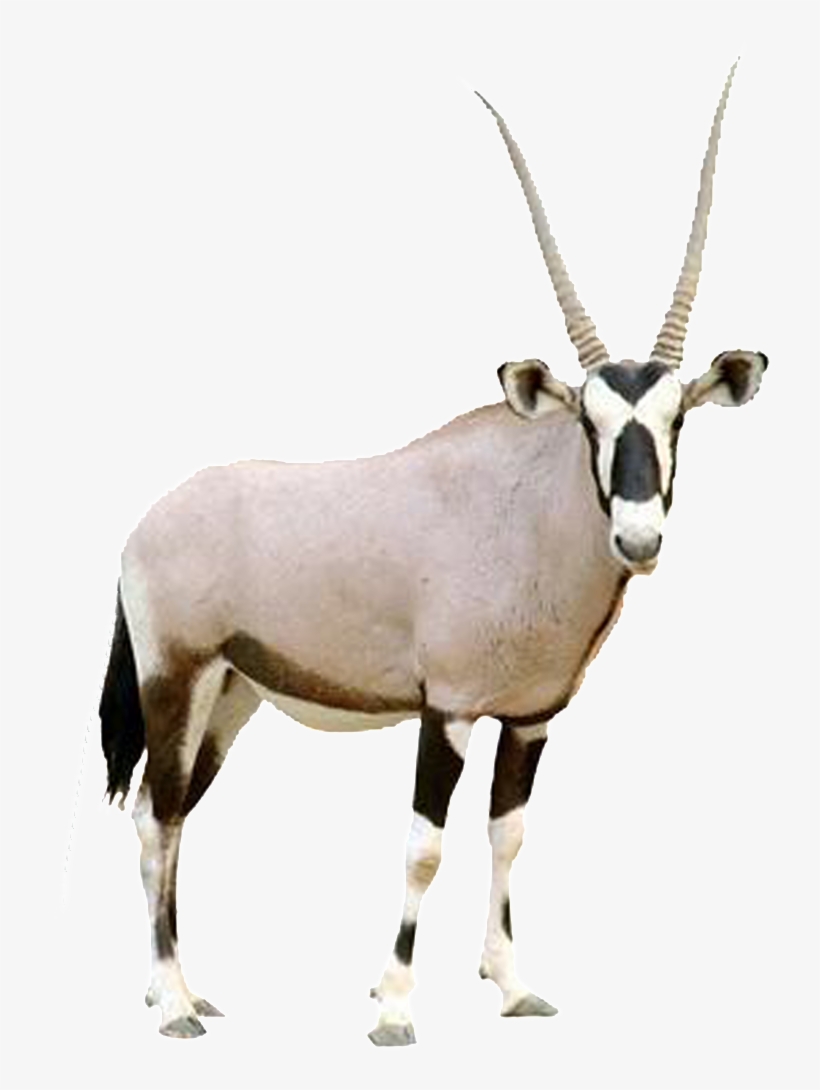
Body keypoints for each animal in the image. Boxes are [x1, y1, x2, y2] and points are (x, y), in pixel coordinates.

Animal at [100, 61, 767, 1046]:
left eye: (676, 417)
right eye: (588, 420)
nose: (639, 538)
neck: (527, 513)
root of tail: (146, 523)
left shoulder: (529, 718)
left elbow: (507, 835)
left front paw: (514, 986)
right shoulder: (445, 710)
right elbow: (425, 846)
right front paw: (393, 1008)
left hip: (231, 698)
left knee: (173, 814)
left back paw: (176, 989)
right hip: (175, 680)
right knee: (156, 817)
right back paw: (176, 1004)